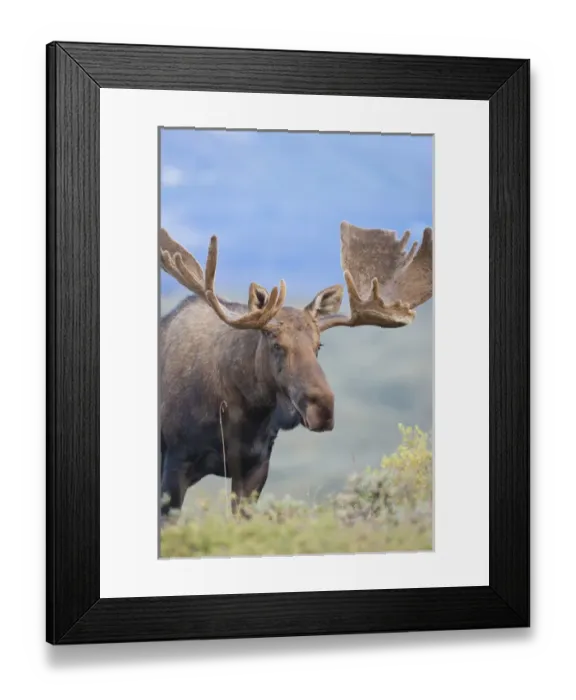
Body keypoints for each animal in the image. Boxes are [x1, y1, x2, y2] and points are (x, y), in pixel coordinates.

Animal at [158, 221, 433, 519]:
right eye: (276, 344)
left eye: (318, 345)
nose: (323, 408)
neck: (242, 415)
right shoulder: (175, 463)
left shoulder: (255, 467)